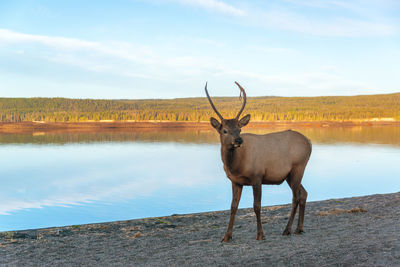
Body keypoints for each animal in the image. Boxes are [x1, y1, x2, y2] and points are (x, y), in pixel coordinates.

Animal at [206, 81, 312, 243]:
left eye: (239, 129)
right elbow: (233, 207)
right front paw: (226, 236)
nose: (238, 140)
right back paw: (299, 228)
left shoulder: (257, 176)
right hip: (289, 175)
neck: (236, 165)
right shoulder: (235, 181)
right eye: (224, 130)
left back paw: (287, 229)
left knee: (296, 197)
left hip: (298, 167)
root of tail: (309, 142)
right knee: (303, 193)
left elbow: (257, 206)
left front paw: (260, 234)